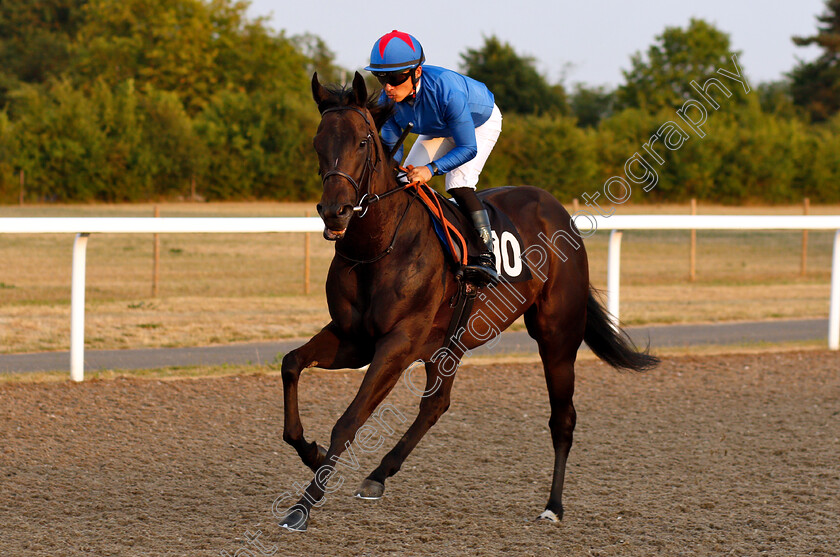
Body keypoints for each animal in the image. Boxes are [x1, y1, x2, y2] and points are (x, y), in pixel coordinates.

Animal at [278, 71, 660, 532]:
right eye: (318, 141)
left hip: (556, 335)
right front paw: (309, 451)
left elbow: (349, 419)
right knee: (436, 405)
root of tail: (558, 211)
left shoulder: (396, 343)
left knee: (562, 417)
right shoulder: (353, 339)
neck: (378, 246)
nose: (334, 212)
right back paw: (378, 476)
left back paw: (553, 506)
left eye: (363, 142)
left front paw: (303, 505)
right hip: (451, 340)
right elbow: (291, 364)